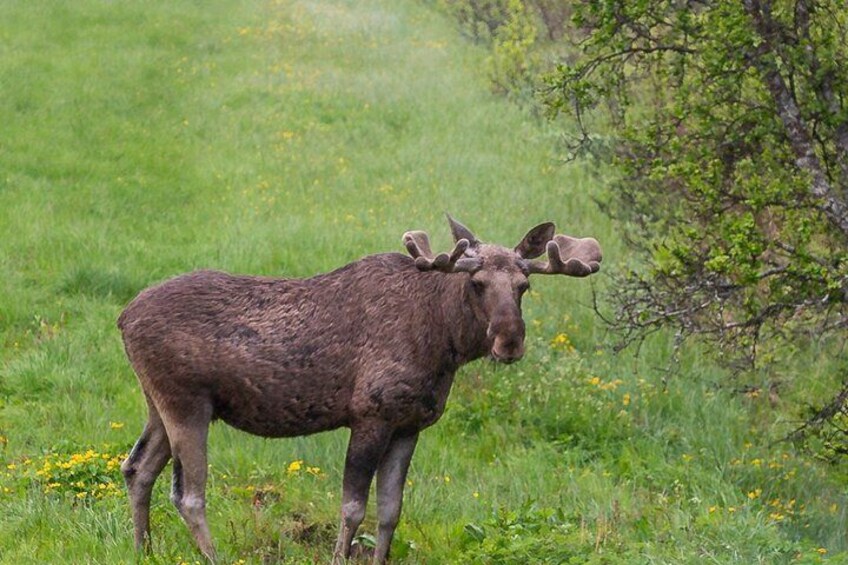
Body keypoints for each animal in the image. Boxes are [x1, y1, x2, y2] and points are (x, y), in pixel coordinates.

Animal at [117, 216, 602, 563]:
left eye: (524, 286)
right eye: (477, 283)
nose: (509, 341)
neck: (443, 346)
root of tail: (122, 318)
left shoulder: (409, 425)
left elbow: (390, 510)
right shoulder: (370, 414)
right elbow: (352, 507)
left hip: (157, 404)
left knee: (137, 468)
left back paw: (143, 550)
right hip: (186, 402)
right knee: (189, 495)